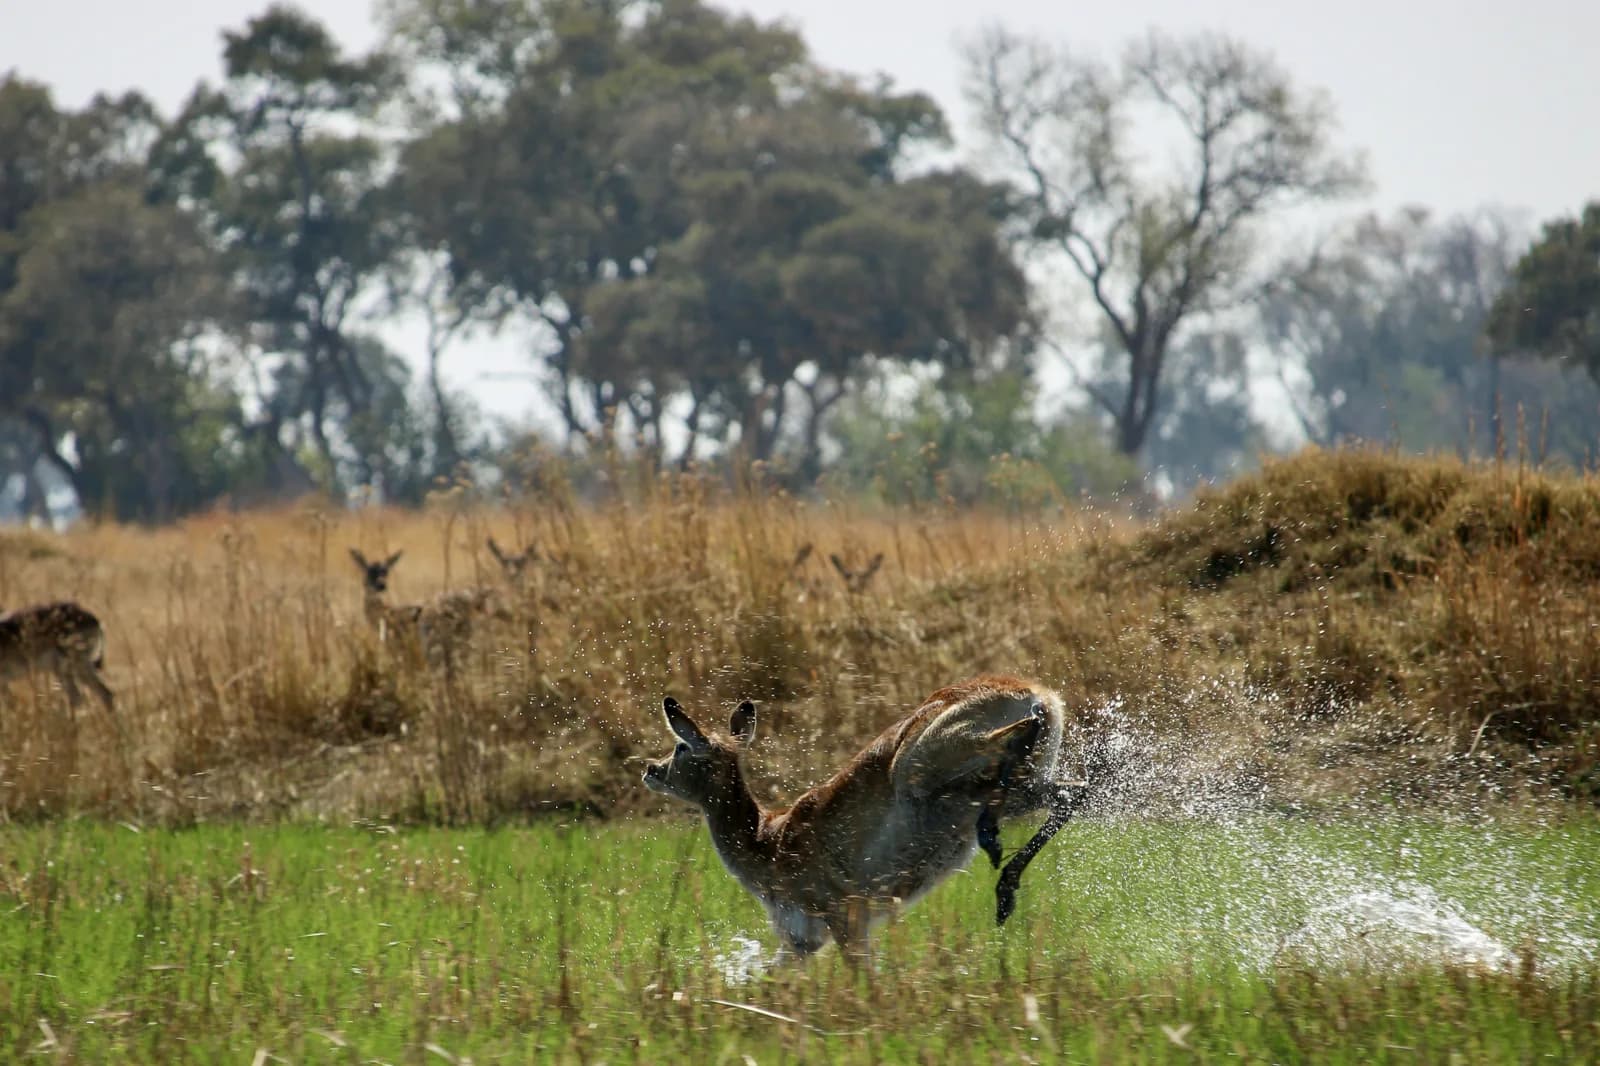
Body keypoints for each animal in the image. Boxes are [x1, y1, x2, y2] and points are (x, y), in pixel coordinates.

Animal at [642, 675, 1088, 963]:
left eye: (682, 746)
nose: (650, 769)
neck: (769, 842)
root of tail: (1040, 695)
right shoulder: (802, 940)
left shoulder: (844, 918)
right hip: (1021, 788)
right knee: (1073, 792)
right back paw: (1003, 890)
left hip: (922, 765)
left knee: (1024, 741)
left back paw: (993, 844)